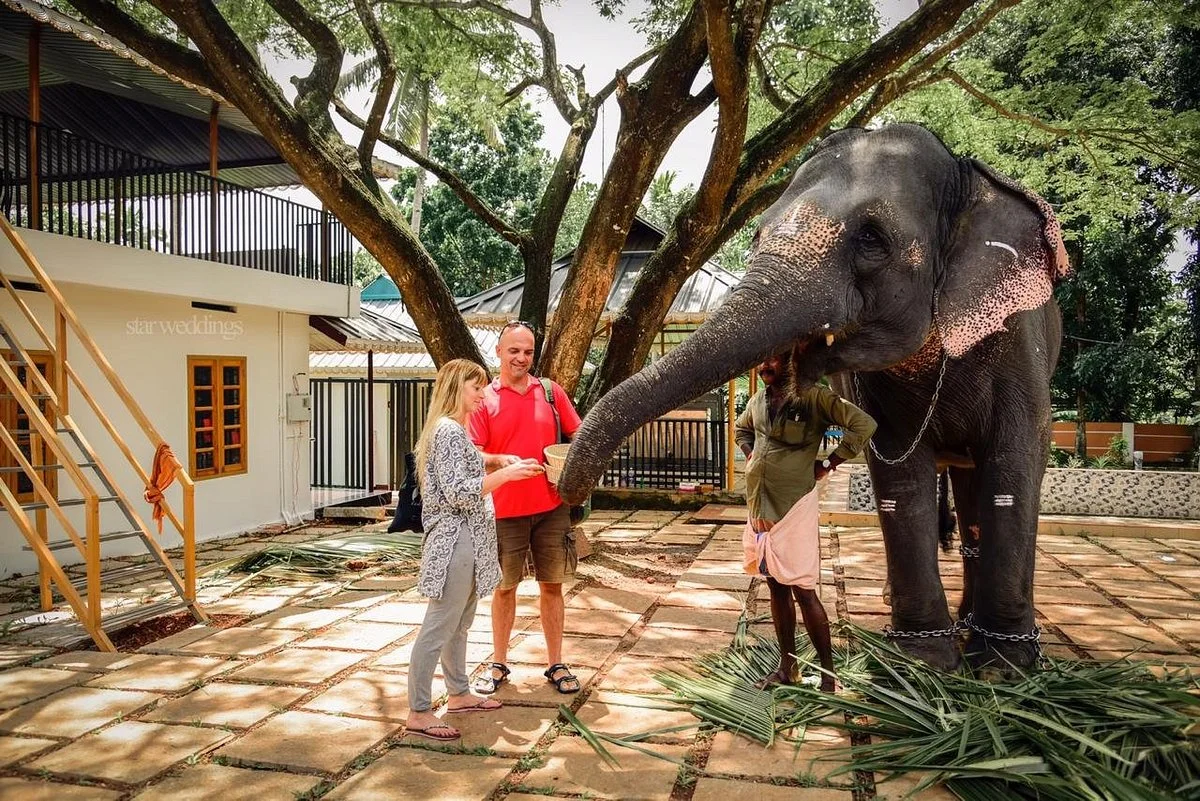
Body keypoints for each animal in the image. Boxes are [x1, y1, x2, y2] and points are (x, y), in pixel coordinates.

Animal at [558, 123, 1070, 674]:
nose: (569, 498)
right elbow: (899, 470)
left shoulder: (1019, 338)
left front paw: (1003, 668)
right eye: (756, 235)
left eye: (871, 238)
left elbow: (1016, 462)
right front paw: (922, 663)